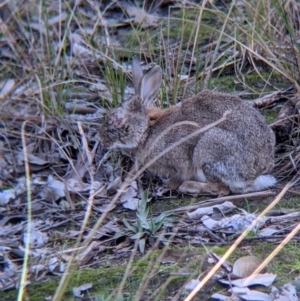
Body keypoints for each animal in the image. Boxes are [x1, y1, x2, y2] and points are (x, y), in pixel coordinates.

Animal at [99, 57, 276, 195]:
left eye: (118, 121)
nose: (101, 139)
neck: (147, 131)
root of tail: (256, 174)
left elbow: (177, 176)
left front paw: (167, 185)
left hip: (208, 149)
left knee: (222, 188)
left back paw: (189, 186)